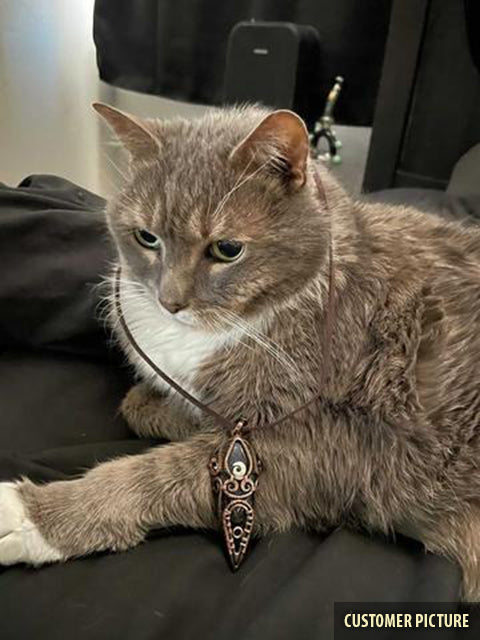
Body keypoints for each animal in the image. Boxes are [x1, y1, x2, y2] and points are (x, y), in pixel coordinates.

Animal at [0, 101, 480, 600]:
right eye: (147, 238)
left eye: (227, 249)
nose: (169, 301)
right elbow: (137, 403)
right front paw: (172, 411)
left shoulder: (329, 448)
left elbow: (153, 475)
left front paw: (33, 515)